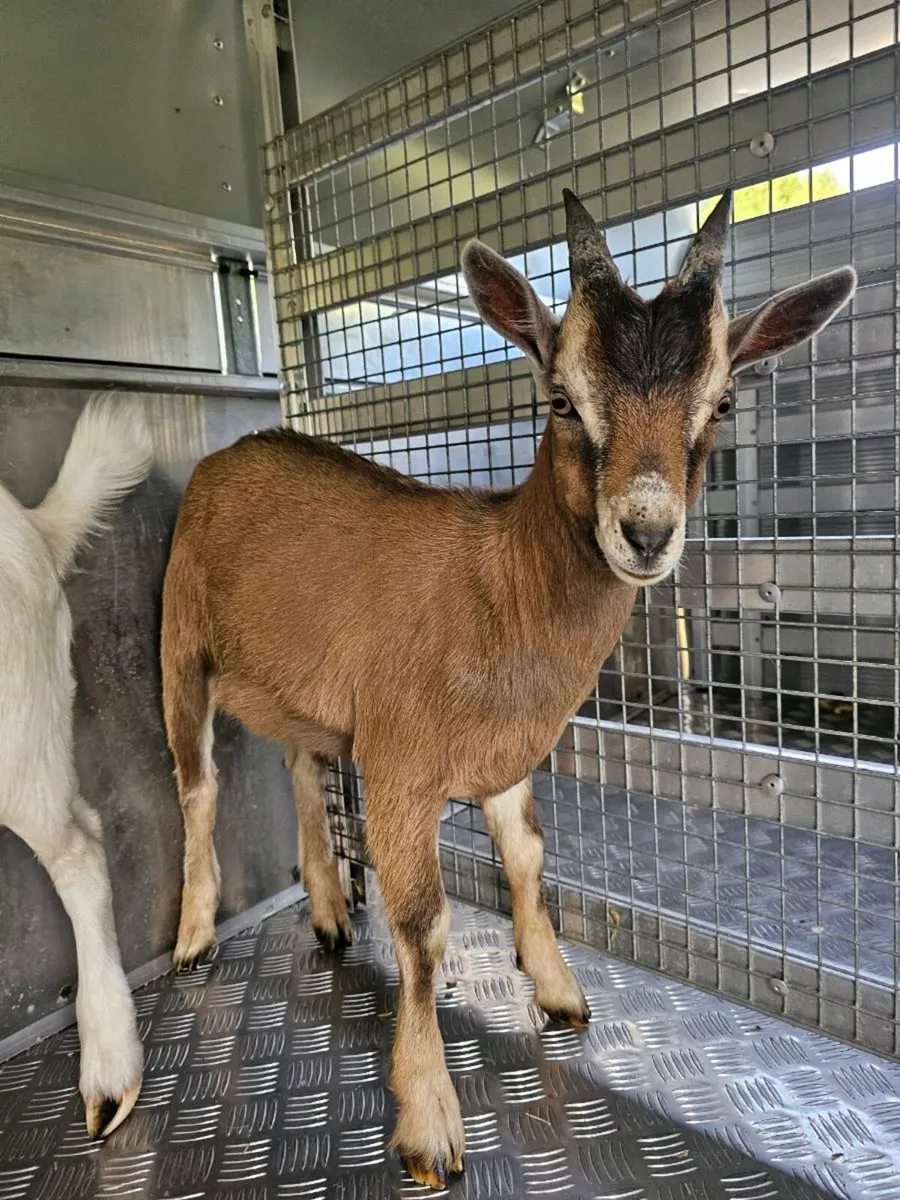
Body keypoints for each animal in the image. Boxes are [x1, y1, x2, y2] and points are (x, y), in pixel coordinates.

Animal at [161, 190, 855, 1188]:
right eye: (562, 400)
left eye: (721, 401)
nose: (646, 532)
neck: (496, 591)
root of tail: (231, 452)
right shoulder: (402, 765)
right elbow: (423, 927)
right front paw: (428, 1118)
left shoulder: (507, 753)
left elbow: (527, 857)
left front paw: (560, 989)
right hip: (180, 636)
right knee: (197, 784)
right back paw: (192, 937)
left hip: (301, 692)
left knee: (298, 764)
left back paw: (329, 911)